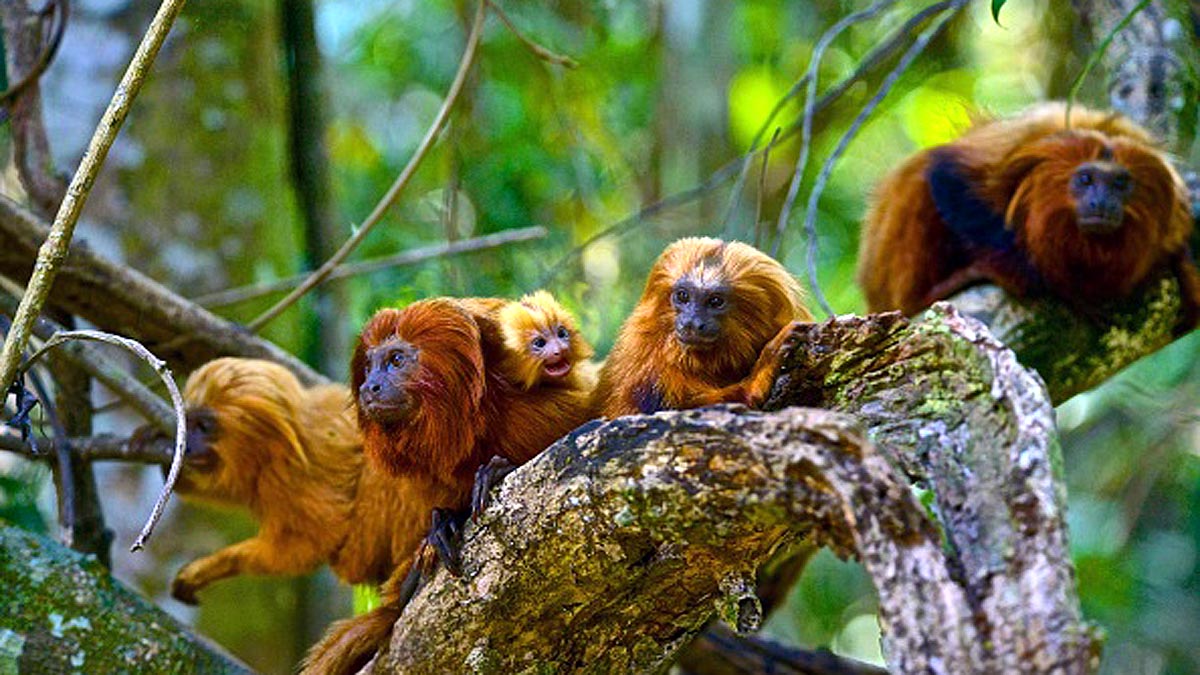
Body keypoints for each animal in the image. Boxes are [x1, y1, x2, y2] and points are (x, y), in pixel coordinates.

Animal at [857, 102, 1200, 331]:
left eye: (1119, 183)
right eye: (1086, 179)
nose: (1102, 202)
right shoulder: (1026, 138)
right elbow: (947, 172)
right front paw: (1047, 279)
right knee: (919, 177)